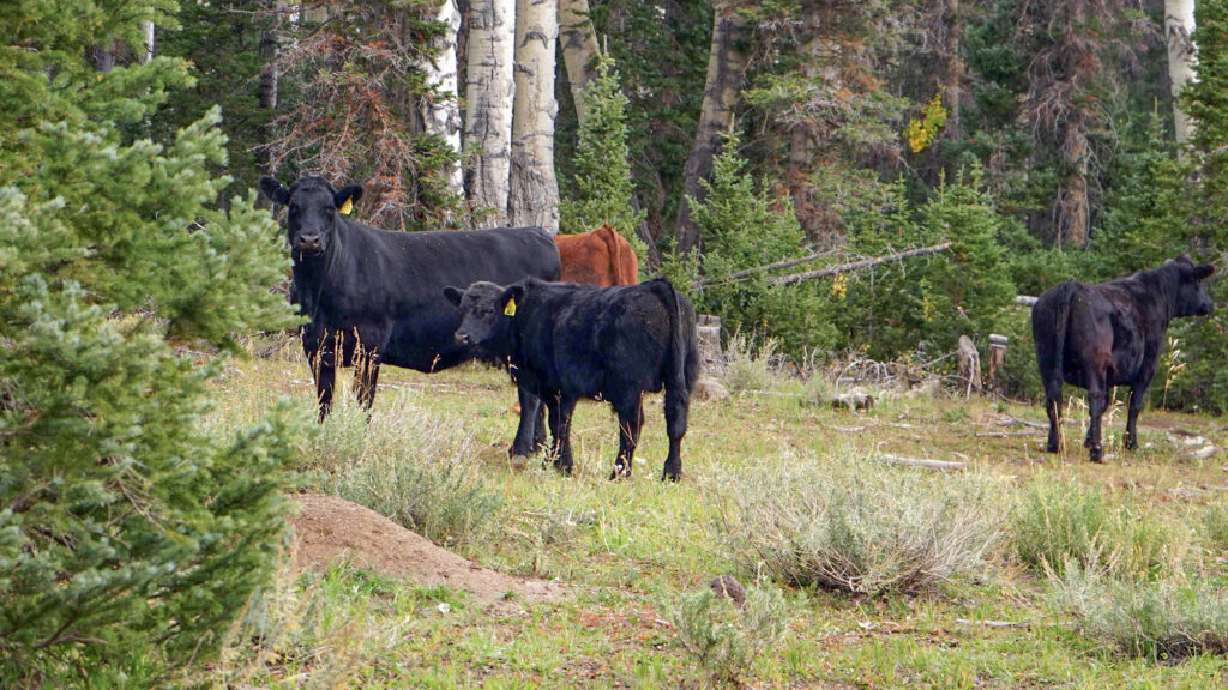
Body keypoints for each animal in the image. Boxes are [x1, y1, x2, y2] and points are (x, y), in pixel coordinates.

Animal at [259, 175, 560, 457]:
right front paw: (323, 435)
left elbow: (363, 398)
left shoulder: (370, 343)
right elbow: (324, 396)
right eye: (294, 207)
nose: (310, 239)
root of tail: (537, 233)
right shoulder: (315, 343)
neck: (320, 288)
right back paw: (538, 446)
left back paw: (520, 449)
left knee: (529, 396)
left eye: (329, 209)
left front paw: (360, 438)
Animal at [443, 277, 700, 481]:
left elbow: (557, 423)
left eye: (488, 310)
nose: (462, 336)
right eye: (462, 309)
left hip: (629, 386)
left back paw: (618, 473)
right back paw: (671, 473)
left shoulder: (551, 385)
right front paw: (556, 462)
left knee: (631, 427)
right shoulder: (565, 390)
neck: (525, 317)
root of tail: (654, 286)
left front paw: (559, 465)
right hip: (681, 380)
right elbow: (563, 423)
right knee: (676, 424)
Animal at [1032, 256, 1215, 463]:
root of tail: (1072, 285)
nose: (1208, 303)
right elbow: (1134, 405)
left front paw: (1087, 440)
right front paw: (1130, 444)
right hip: (1095, 361)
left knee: (1053, 398)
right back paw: (1097, 451)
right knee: (1095, 398)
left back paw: (1055, 445)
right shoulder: (1147, 368)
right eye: (1198, 282)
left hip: (1046, 358)